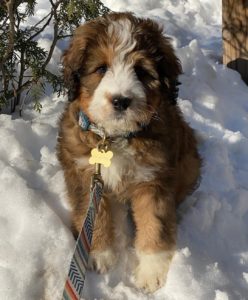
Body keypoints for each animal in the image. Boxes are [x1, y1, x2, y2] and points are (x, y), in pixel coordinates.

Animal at [56, 12, 202, 292]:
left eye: (142, 72)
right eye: (101, 69)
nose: (121, 101)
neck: (114, 137)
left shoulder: (153, 178)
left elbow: (155, 222)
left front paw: (152, 270)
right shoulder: (85, 173)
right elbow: (94, 213)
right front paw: (99, 253)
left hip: (189, 160)